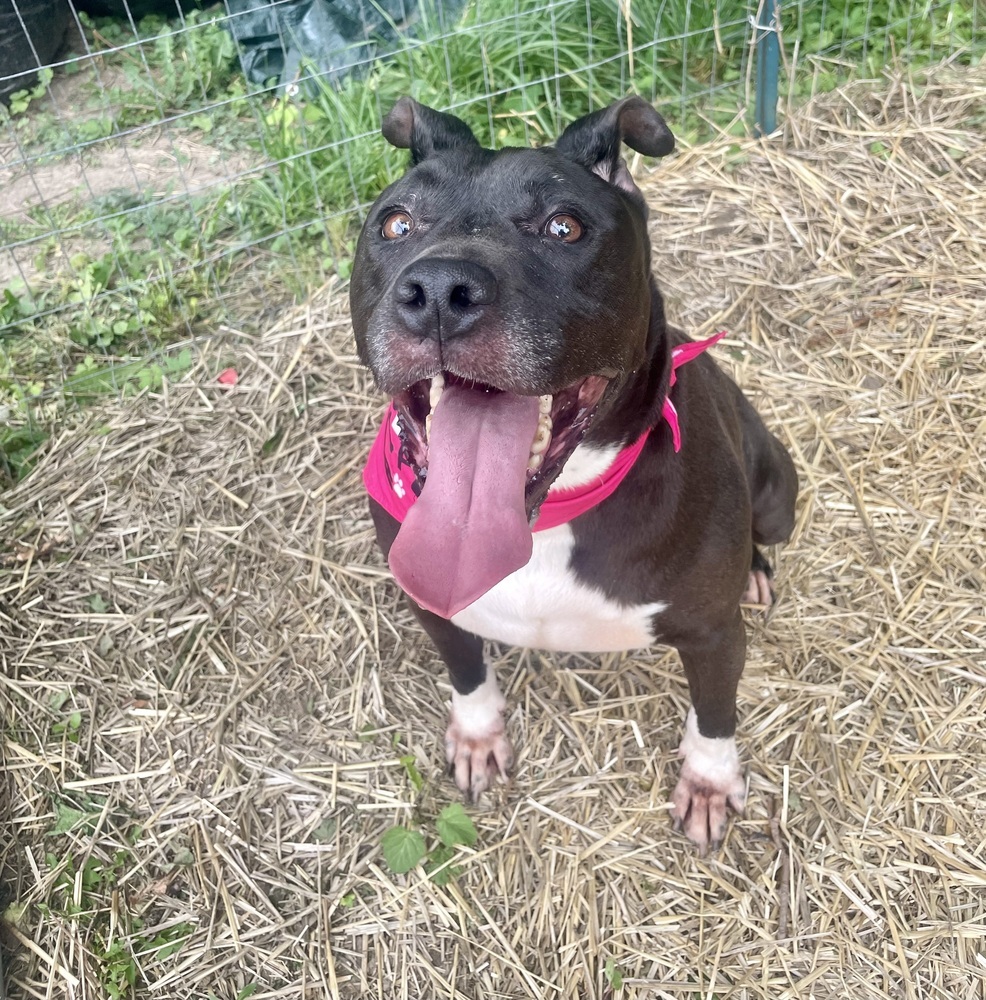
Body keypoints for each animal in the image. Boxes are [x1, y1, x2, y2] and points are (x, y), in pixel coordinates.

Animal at [350, 94, 796, 848]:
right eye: (396, 223)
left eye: (565, 226)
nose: (438, 289)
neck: (546, 522)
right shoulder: (431, 602)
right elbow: (465, 670)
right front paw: (477, 734)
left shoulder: (714, 634)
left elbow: (715, 714)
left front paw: (709, 783)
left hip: (777, 493)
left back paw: (757, 572)